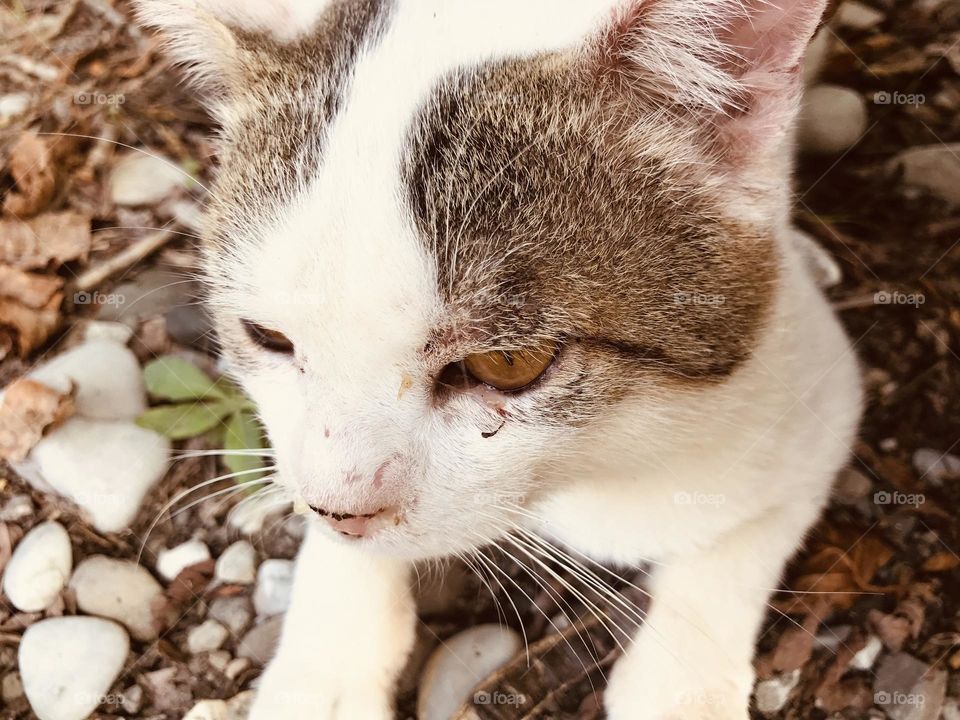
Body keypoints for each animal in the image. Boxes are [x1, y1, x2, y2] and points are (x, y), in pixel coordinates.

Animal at [137, 2, 864, 716]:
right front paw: (329, 660)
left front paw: (679, 685)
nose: (341, 511)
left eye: (510, 362)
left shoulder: (812, 395)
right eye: (267, 337)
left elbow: (735, 542)